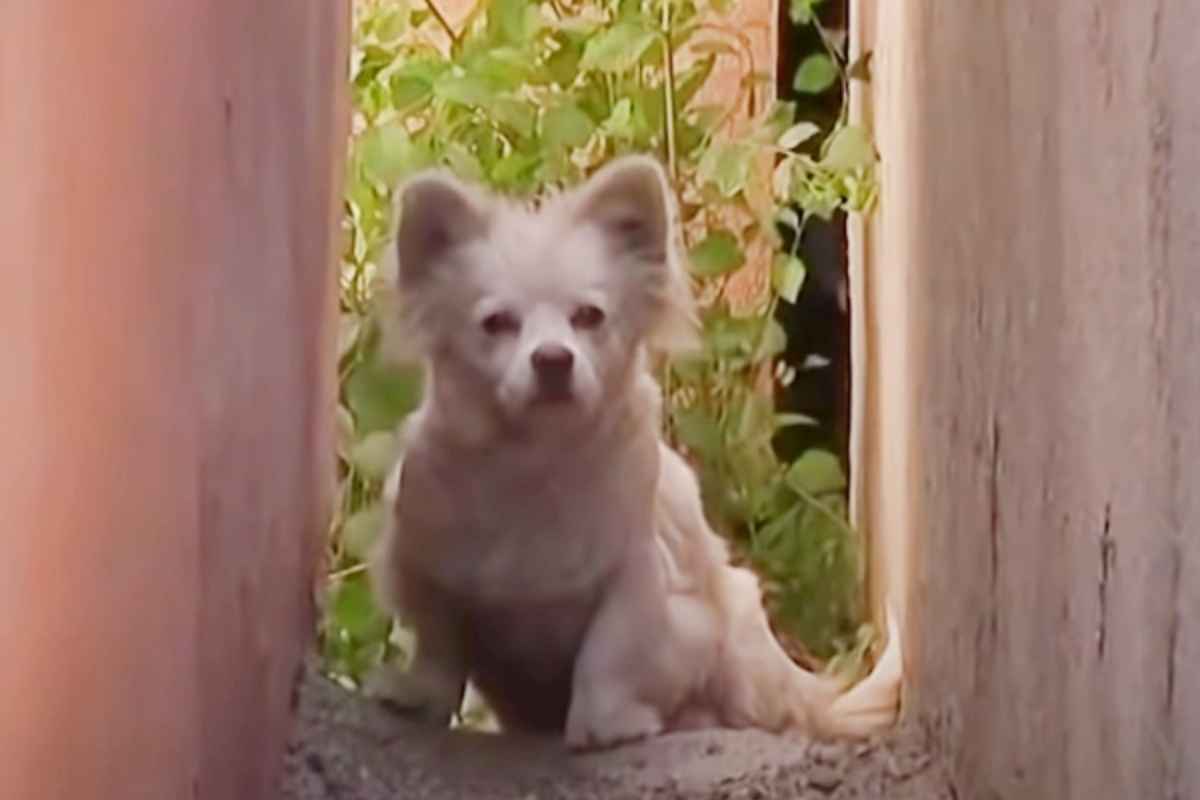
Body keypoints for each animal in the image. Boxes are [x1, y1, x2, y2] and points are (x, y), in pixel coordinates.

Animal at [369, 155, 897, 753]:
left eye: (589, 317)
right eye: (497, 323)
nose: (553, 359)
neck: (535, 463)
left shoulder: (639, 582)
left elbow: (608, 655)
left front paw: (605, 725)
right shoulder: (430, 571)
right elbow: (439, 648)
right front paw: (417, 697)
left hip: (741, 641)